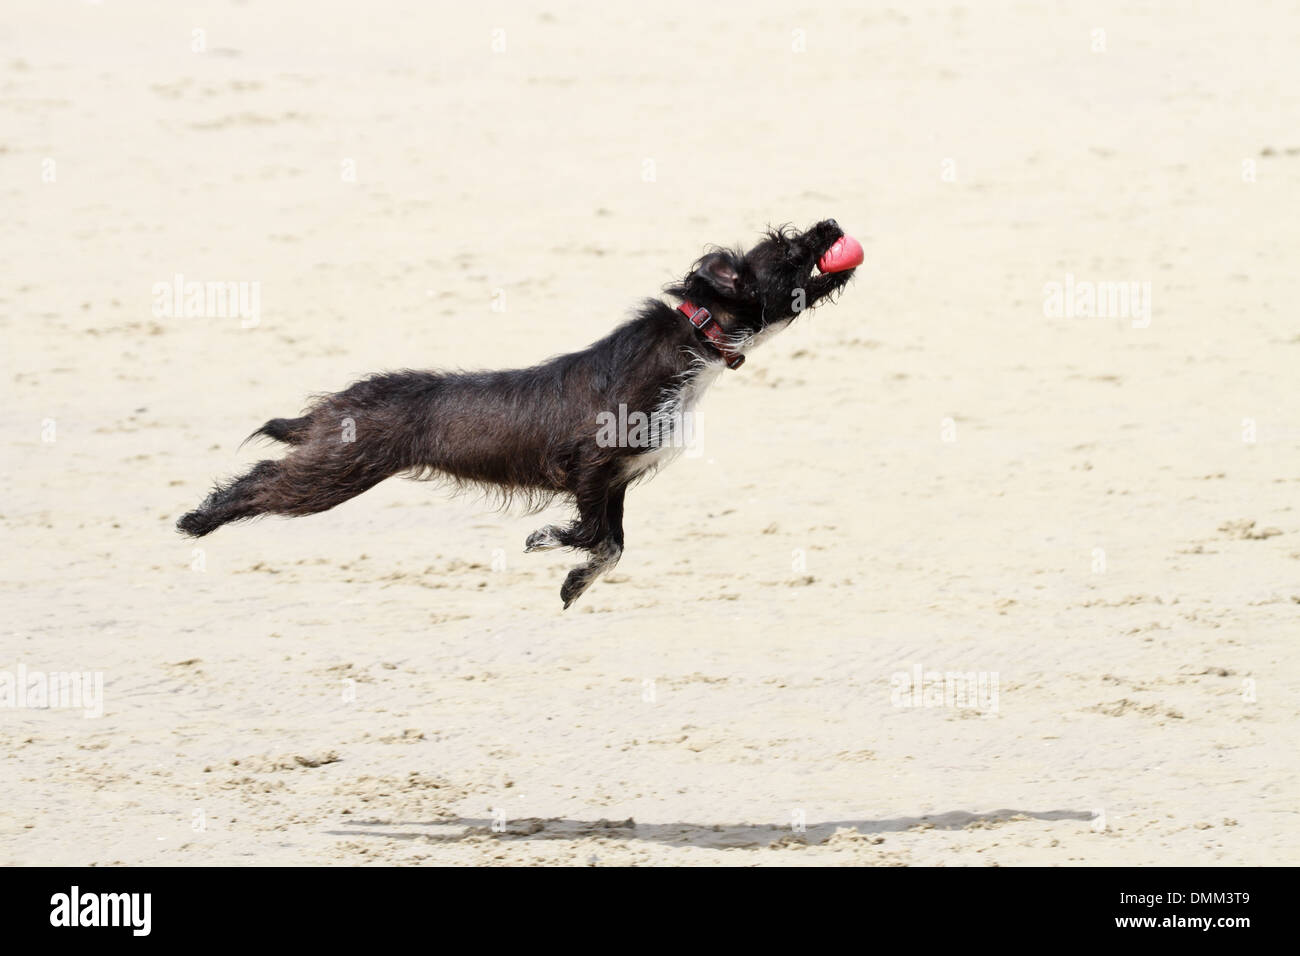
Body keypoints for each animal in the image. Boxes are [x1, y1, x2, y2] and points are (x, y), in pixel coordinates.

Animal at [178, 219, 857, 606]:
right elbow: (593, 536)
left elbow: (612, 545)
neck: (695, 343)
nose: (830, 222)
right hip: (337, 472)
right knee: (262, 481)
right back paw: (198, 520)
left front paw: (572, 582)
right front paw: (546, 540)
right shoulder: (590, 467)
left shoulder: (616, 481)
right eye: (786, 249)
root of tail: (342, 402)